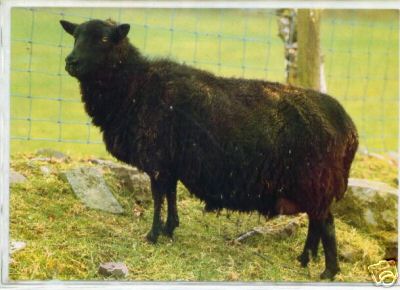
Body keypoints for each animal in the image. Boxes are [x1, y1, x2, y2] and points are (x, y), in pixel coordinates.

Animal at [60, 18, 360, 278]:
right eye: (75, 36)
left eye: (103, 39)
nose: (71, 62)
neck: (134, 86)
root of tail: (348, 127)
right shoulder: (170, 163)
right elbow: (170, 195)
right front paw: (170, 229)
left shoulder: (157, 161)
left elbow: (158, 199)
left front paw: (153, 235)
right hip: (312, 184)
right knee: (316, 221)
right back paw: (305, 258)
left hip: (314, 179)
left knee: (326, 224)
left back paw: (328, 271)